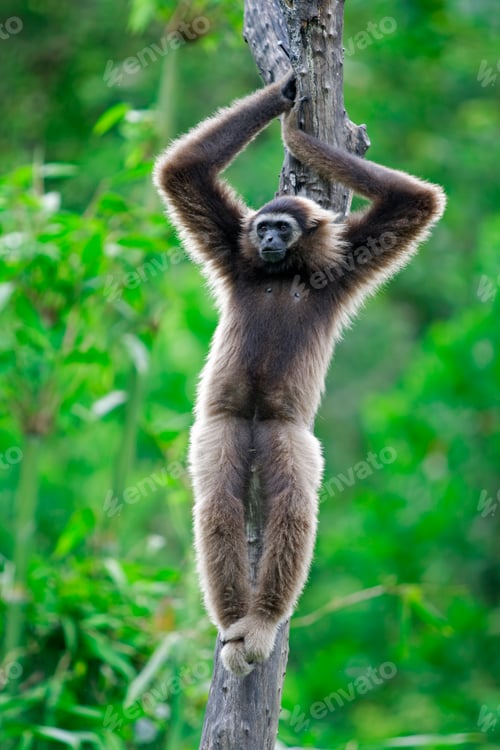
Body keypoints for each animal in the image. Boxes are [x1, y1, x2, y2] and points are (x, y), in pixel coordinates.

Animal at [153, 74, 446, 676]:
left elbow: (417, 201)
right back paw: (238, 621)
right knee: (219, 501)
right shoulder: (232, 246)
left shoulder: (346, 262)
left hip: (283, 433)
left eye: (282, 229)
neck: (285, 270)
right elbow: (181, 172)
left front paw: (292, 126)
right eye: (263, 227)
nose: (266, 240)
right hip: (223, 425)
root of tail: (257, 424)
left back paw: (261, 622)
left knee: (291, 499)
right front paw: (285, 96)